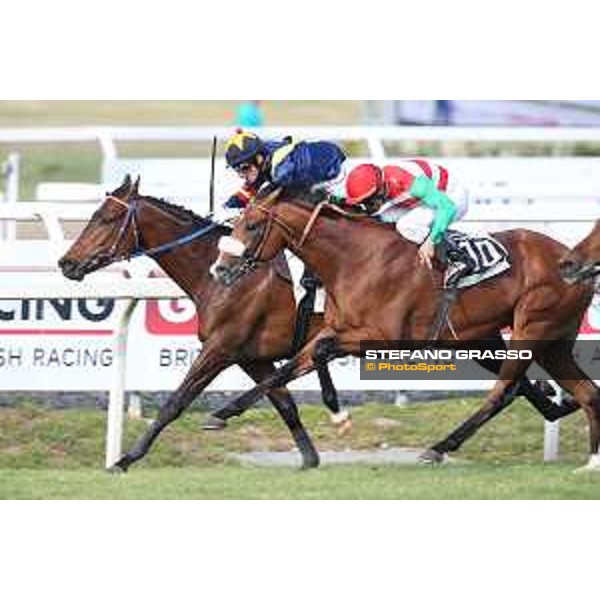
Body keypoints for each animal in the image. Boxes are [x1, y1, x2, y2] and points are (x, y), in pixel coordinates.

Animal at [58, 176, 350, 472]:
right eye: (95, 215)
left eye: (107, 218)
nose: (66, 263)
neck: (218, 276)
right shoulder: (252, 358)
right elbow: (284, 402)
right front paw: (310, 459)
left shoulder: (219, 348)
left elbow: (176, 402)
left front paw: (126, 459)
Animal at [210, 190, 600, 472]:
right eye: (237, 223)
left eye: (253, 226)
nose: (219, 269)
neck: (354, 259)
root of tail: (569, 259)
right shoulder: (334, 330)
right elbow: (286, 370)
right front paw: (222, 413)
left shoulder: (382, 338)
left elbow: (316, 356)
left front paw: (339, 415)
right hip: (539, 341)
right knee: (584, 393)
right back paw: (581, 443)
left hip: (532, 327)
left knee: (503, 391)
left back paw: (439, 448)